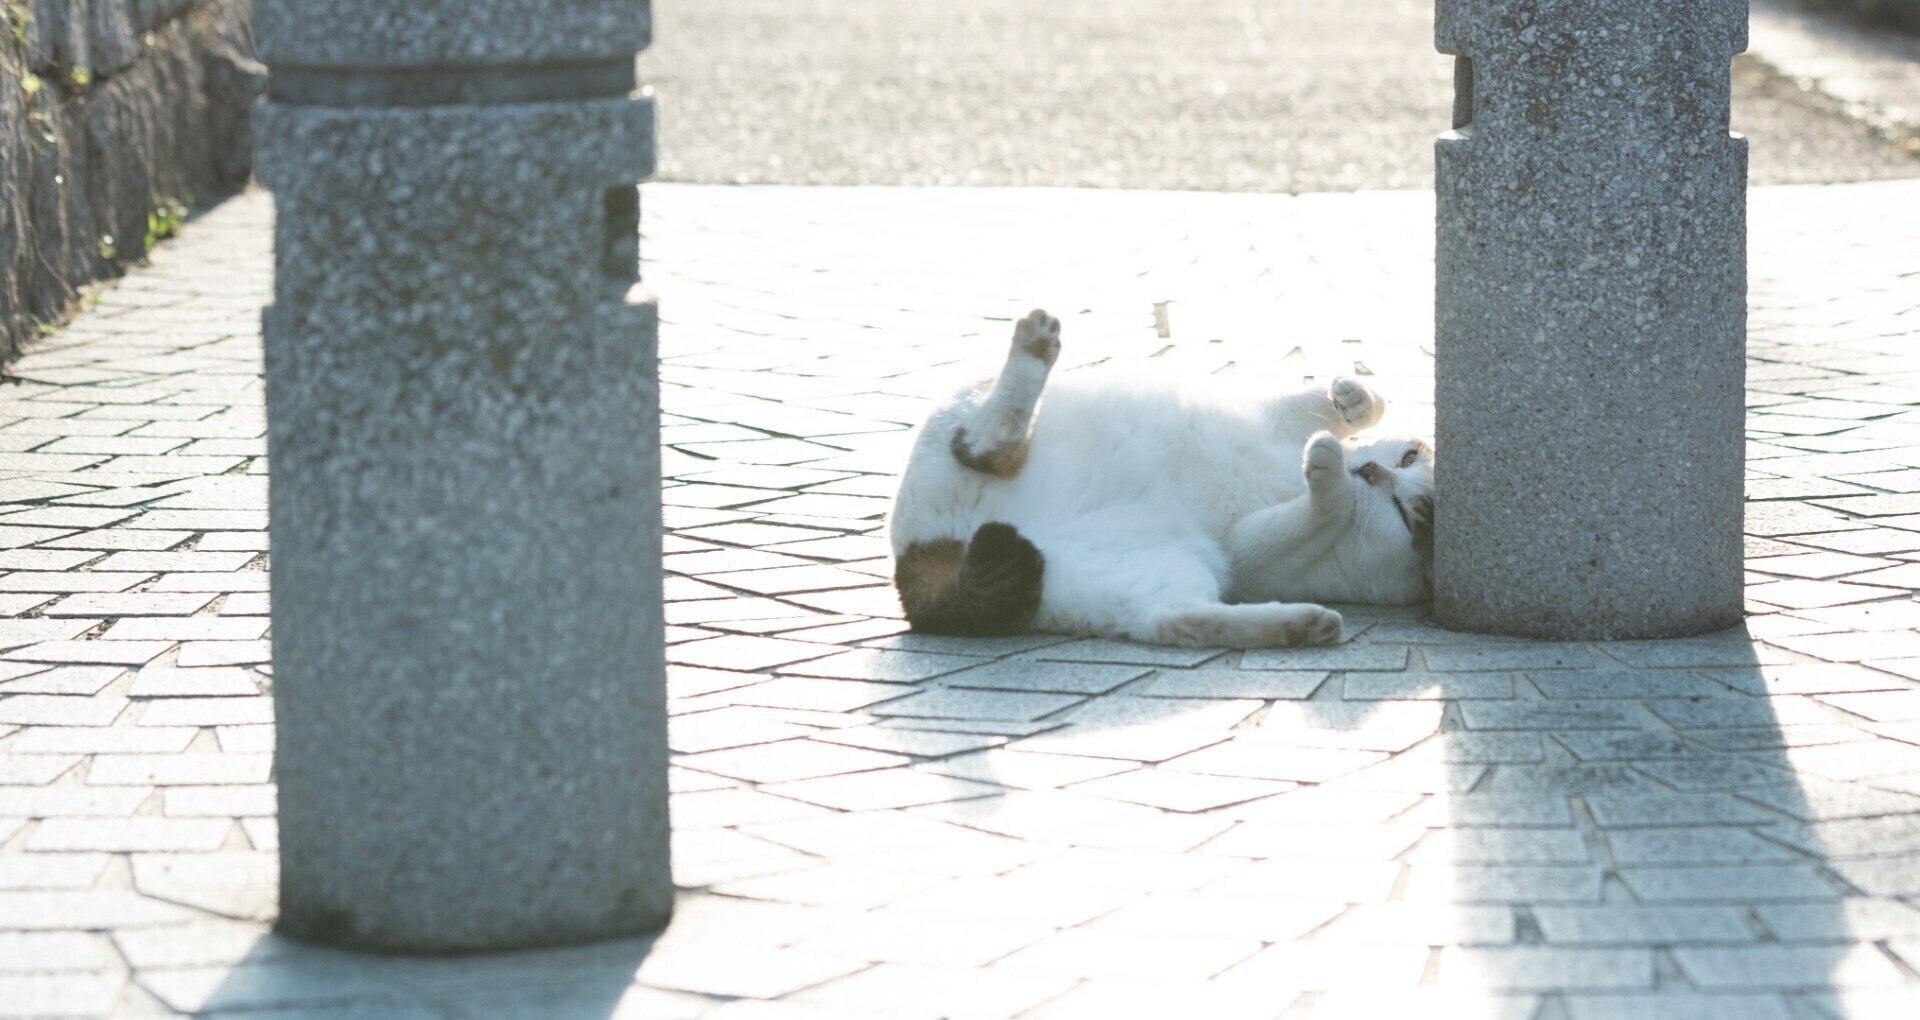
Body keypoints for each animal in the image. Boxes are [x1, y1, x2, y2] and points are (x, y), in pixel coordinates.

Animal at [879, 307, 1428, 649]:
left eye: (1404, 514)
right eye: (1409, 457)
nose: (1370, 472)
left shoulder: (1249, 550)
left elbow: (1325, 503)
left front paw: (1332, 474)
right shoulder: (1276, 421)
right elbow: (1345, 409)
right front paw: (1351, 400)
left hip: (1153, 574)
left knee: (1176, 620)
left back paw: (1298, 625)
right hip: (961, 406)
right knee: (978, 444)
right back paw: (1034, 347)